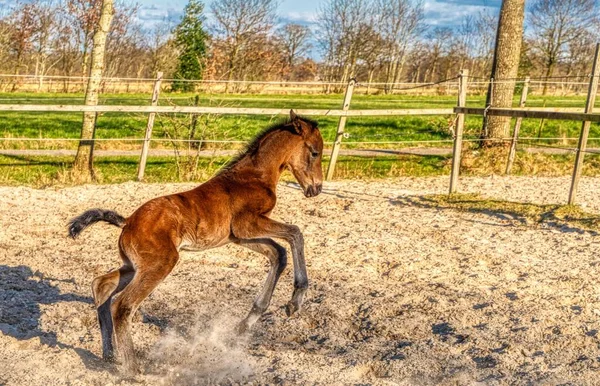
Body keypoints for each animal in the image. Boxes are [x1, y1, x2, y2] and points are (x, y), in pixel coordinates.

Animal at [68, 111, 324, 370]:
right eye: (315, 152)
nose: (316, 189)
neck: (254, 176)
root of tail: (128, 221)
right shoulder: (248, 223)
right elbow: (295, 233)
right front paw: (296, 300)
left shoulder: (238, 236)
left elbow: (278, 253)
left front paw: (249, 322)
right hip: (161, 263)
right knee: (122, 305)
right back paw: (132, 368)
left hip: (134, 265)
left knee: (101, 284)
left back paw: (108, 356)